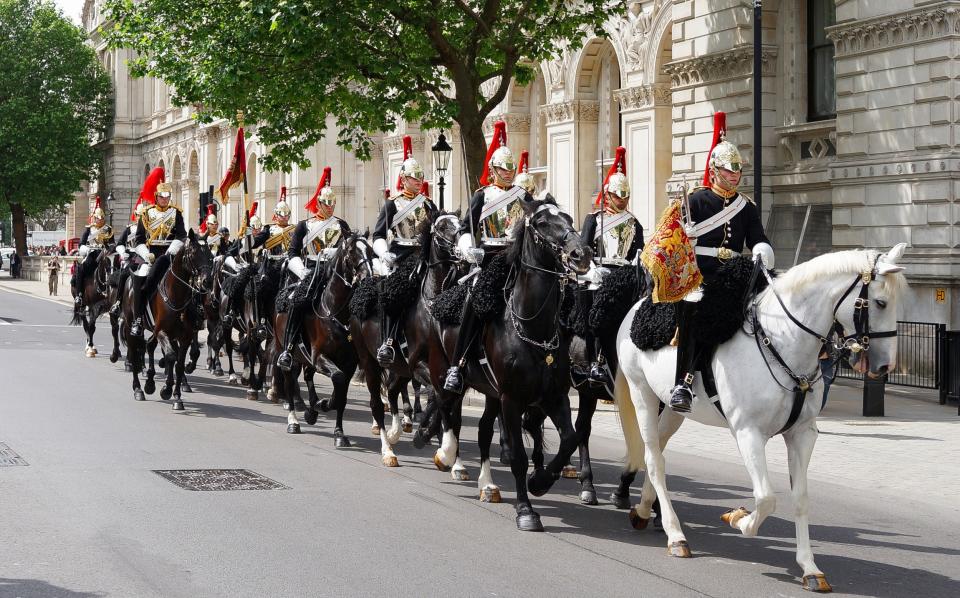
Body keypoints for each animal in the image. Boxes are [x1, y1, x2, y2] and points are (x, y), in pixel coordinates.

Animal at [616, 245, 908, 596]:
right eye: (880, 302)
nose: (884, 367)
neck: (783, 342)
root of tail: (639, 306)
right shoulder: (748, 433)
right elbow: (766, 498)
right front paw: (738, 518)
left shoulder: (802, 434)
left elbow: (800, 498)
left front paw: (810, 568)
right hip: (642, 394)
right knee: (653, 459)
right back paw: (675, 536)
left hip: (674, 410)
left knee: (658, 449)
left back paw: (644, 509)